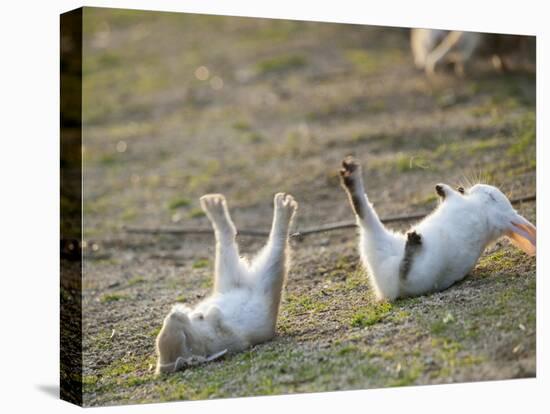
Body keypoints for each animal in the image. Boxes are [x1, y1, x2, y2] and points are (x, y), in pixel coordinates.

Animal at [155, 192, 300, 374]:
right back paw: (284, 205)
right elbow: (221, 326)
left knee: (226, 237)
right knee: (275, 243)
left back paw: (214, 204)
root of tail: (247, 283)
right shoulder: (223, 338)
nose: (175, 314)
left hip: (228, 276)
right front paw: (209, 314)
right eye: (184, 338)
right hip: (268, 277)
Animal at [340, 156, 540, 300]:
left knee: (403, 271)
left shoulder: (459, 204)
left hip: (416, 275)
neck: (485, 213)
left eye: (491, 196)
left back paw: (413, 242)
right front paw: (451, 188)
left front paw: (443, 188)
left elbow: (450, 195)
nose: (475, 186)